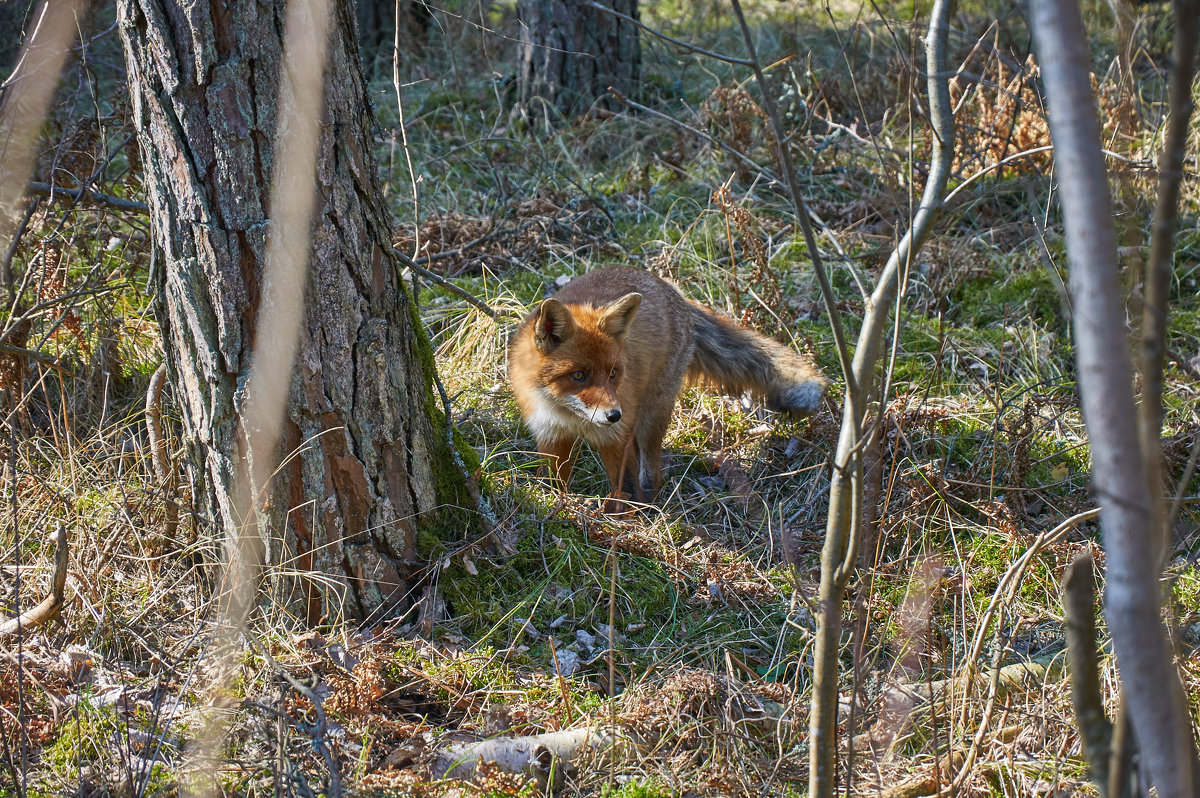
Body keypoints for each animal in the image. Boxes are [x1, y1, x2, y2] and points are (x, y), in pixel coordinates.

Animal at [506, 267, 825, 504]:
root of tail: (676, 292)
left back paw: (650, 503)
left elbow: (624, 489)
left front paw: (621, 524)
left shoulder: (614, 439)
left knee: (651, 470)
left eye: (613, 373)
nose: (614, 415)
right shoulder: (551, 435)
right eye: (579, 375)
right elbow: (554, 482)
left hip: (651, 416)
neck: (569, 416)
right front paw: (558, 506)